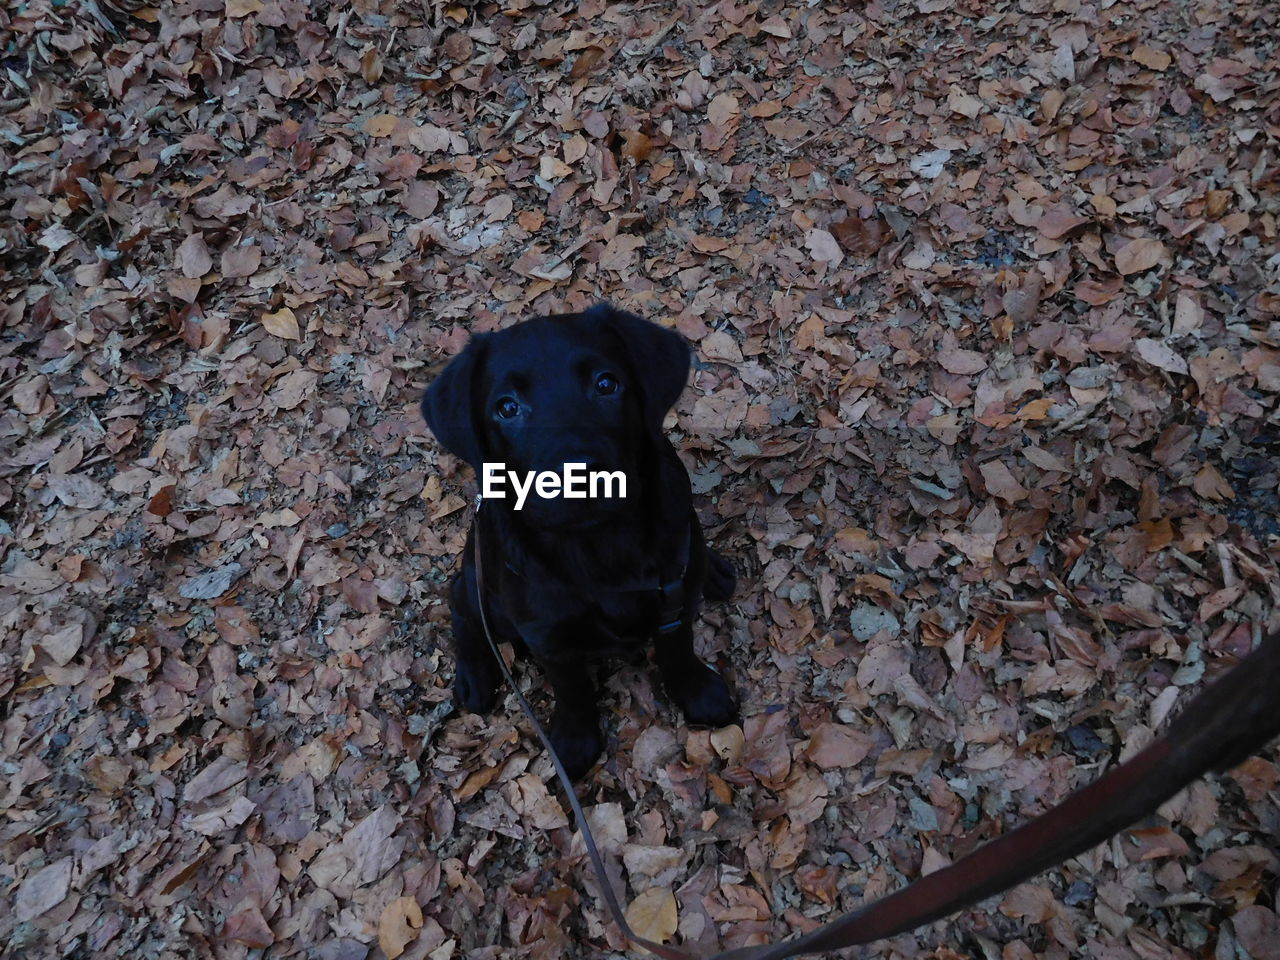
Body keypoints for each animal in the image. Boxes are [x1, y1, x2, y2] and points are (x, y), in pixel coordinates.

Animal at [422, 304, 737, 778]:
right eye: (507, 408)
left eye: (606, 384)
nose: (580, 477)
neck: (599, 546)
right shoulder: (547, 636)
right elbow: (572, 689)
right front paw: (575, 740)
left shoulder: (673, 600)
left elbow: (678, 648)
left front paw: (697, 692)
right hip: (487, 594)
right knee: (462, 603)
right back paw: (475, 675)